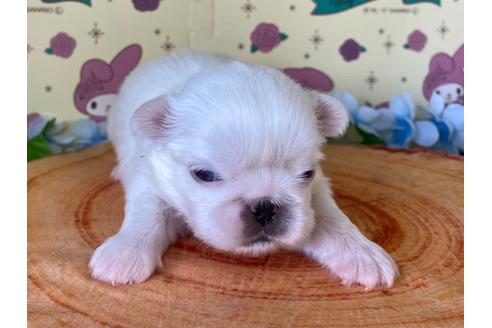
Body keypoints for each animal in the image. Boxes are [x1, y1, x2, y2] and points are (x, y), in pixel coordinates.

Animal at [89, 49, 400, 290]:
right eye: (204, 175)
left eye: (307, 174)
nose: (265, 207)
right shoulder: (150, 179)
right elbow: (147, 213)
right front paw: (124, 254)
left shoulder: (318, 190)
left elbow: (330, 216)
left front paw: (362, 253)